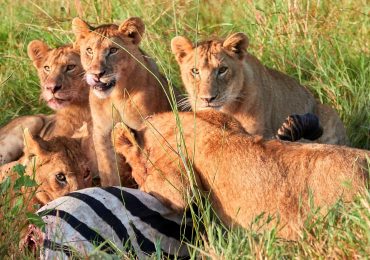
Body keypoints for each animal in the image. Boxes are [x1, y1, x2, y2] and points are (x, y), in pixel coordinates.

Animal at [72, 16, 176, 187]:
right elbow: (107, 169)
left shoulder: (145, 127)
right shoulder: (102, 133)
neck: (116, 96)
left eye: (113, 50)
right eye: (89, 50)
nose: (96, 74)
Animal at [171, 33, 346, 144]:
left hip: (329, 112)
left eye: (222, 70)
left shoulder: (261, 134)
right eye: (195, 71)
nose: (207, 98)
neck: (227, 109)